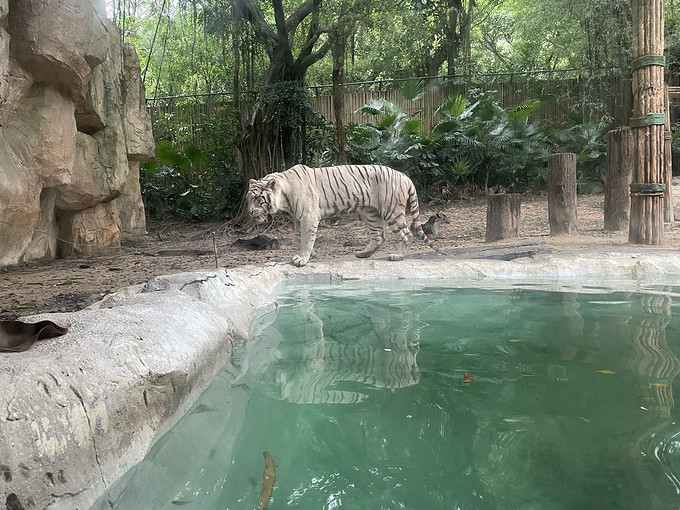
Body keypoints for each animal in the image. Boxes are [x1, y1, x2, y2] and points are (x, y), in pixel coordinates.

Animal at [247, 163, 444, 266]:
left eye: (258, 199)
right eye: (249, 198)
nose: (250, 211)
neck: (284, 193)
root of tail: (405, 176)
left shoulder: (308, 216)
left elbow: (307, 239)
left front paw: (302, 259)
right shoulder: (297, 218)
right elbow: (298, 238)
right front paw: (300, 255)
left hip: (392, 211)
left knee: (407, 234)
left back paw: (398, 257)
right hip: (372, 213)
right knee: (379, 237)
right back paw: (363, 254)